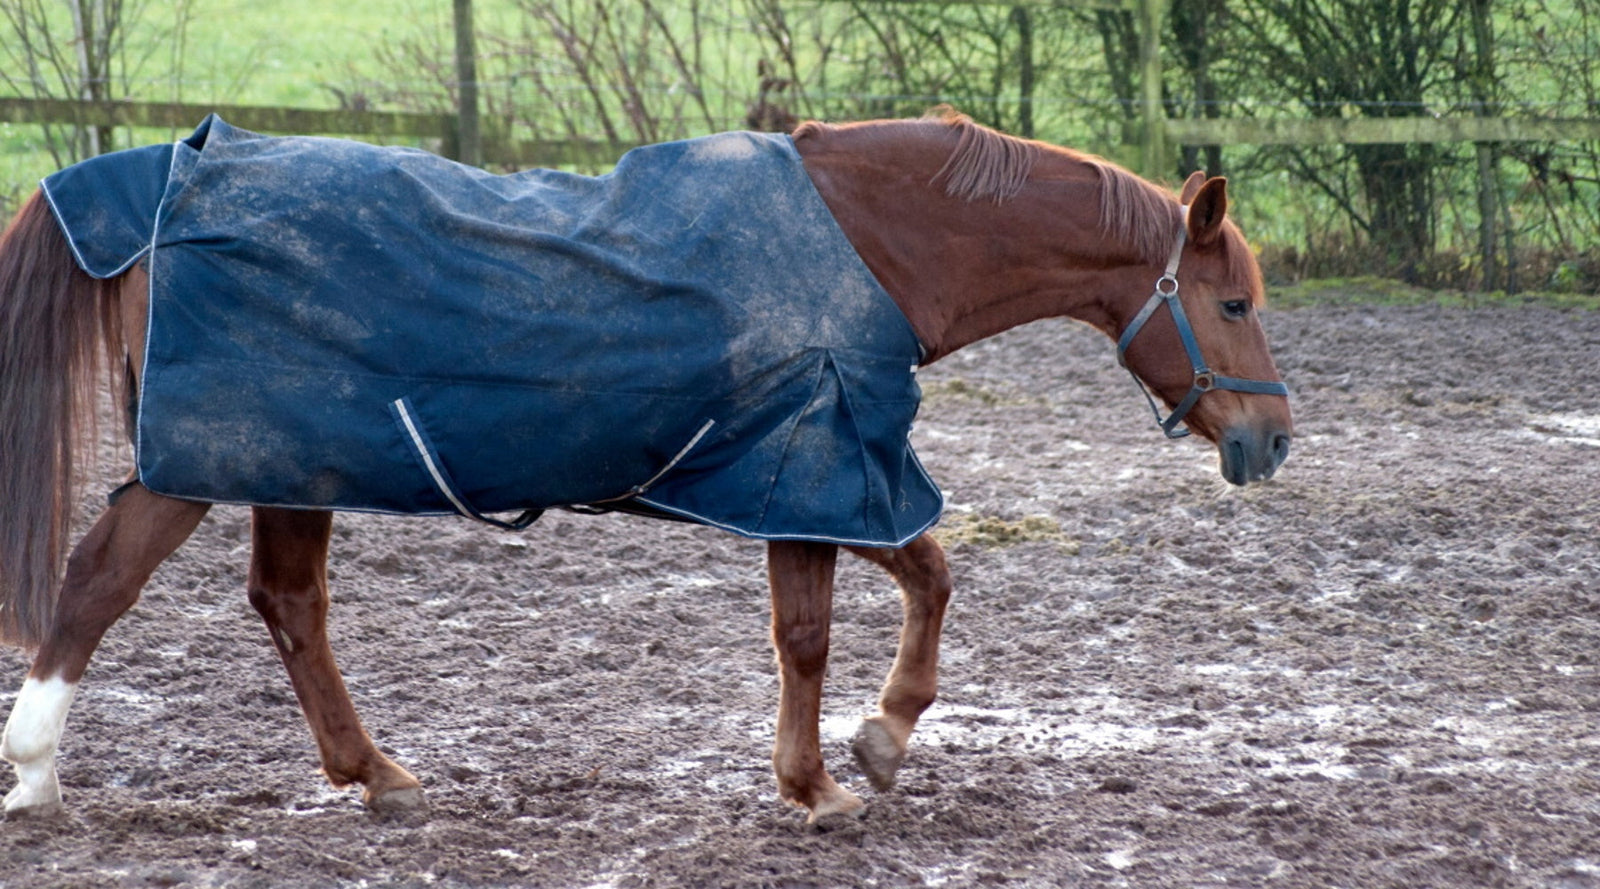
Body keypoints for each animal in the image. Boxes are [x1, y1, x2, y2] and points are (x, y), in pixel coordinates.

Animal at [0, 109, 1291, 825]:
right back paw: (37, 774)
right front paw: (816, 785)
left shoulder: (835, 471)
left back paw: (377, 776)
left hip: (295, 466)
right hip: (203, 463)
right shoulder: (814, 463)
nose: (1270, 440)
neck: (876, 241)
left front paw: (880, 738)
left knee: (288, 606)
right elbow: (808, 633)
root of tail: (166, 180)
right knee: (99, 584)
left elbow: (929, 577)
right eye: (1231, 302)